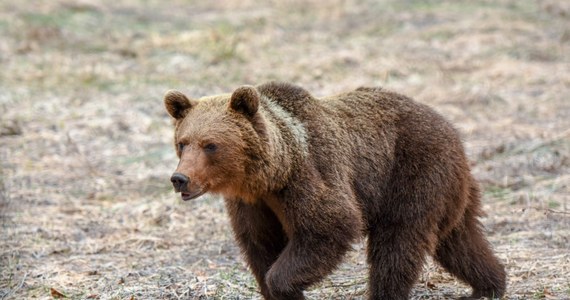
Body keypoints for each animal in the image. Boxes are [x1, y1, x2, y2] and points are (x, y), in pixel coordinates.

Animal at [162, 82, 504, 300]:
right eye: (182, 142)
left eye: (210, 145)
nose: (180, 178)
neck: (272, 174)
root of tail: (452, 129)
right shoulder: (254, 204)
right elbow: (260, 244)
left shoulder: (310, 174)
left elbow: (330, 224)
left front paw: (284, 286)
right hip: (450, 189)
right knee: (459, 239)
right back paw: (489, 286)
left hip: (412, 172)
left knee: (398, 242)